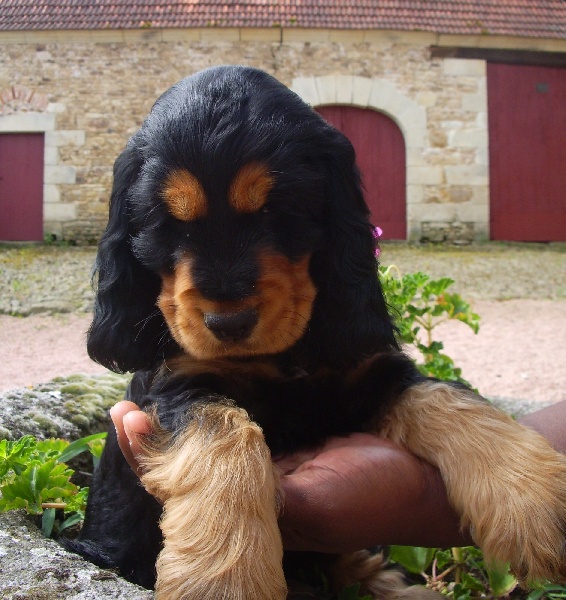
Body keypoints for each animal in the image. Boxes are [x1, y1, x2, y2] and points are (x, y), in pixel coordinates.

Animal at [70, 63, 566, 596]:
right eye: (170, 224)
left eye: (275, 211)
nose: (229, 324)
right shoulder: (179, 384)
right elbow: (226, 434)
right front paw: (227, 578)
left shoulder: (371, 371)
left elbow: (451, 399)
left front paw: (536, 499)